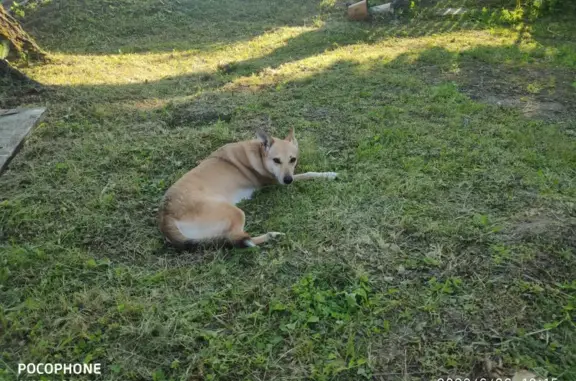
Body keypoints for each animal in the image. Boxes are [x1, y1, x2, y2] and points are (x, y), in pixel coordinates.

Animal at [159, 129, 338, 248]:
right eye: (276, 160)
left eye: (292, 159)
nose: (288, 180)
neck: (259, 153)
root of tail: (166, 215)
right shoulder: (276, 182)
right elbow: (308, 173)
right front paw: (328, 174)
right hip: (235, 212)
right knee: (240, 238)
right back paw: (272, 236)